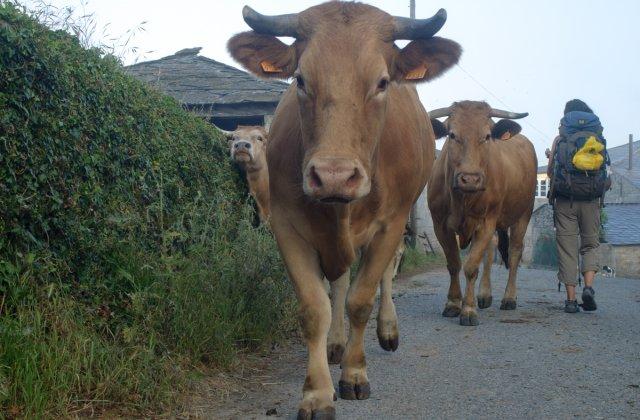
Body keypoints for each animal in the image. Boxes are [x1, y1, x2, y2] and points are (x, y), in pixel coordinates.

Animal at [428, 101, 536, 328]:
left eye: (487, 135)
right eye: (452, 134)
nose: (470, 179)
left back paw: (509, 298)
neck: (462, 198)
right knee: (490, 249)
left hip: (524, 214)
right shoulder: (440, 224)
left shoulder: (487, 221)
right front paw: (453, 303)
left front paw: (468, 310)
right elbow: (454, 264)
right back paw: (485, 295)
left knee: (514, 252)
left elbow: (470, 267)